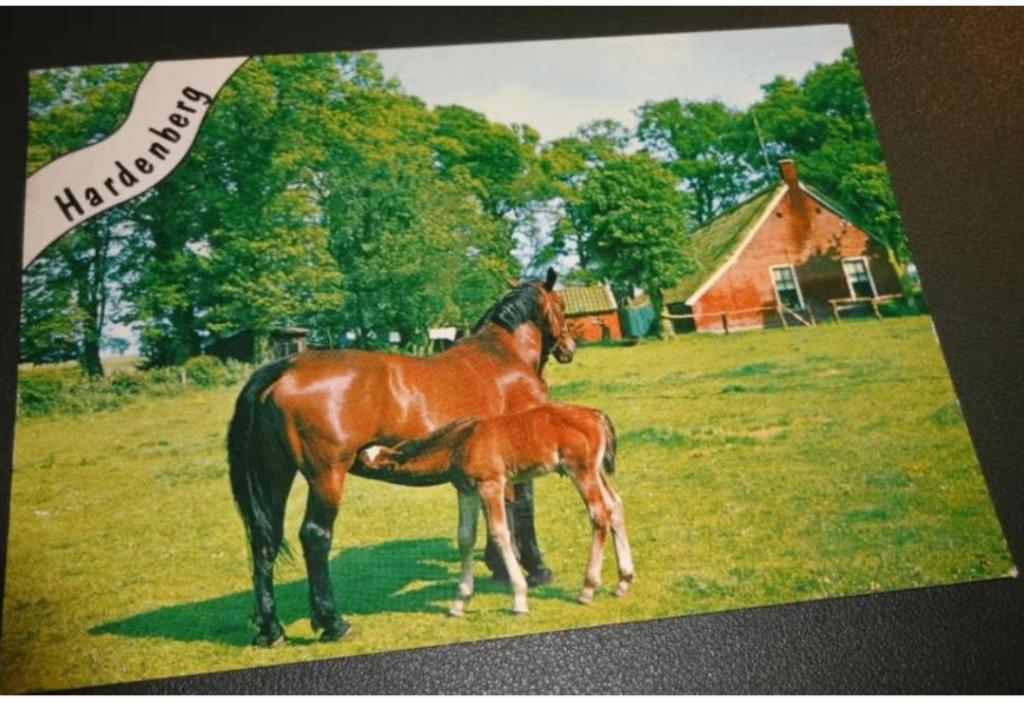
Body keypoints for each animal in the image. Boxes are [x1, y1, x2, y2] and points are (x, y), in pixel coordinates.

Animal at [228, 269, 576, 646]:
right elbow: (523, 510)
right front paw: (538, 568)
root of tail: (283, 369)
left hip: (276, 475)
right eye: (562, 304)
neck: (503, 356)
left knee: (264, 540)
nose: (569, 347)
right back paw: (333, 622)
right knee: (314, 537)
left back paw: (270, 629)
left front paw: (498, 564)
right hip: (326, 475)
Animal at [358, 403, 635, 616]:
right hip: (595, 472)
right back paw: (623, 581)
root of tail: (595, 414)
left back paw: (587, 589)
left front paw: (519, 600)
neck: (460, 442)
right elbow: (465, 538)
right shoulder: (466, 490)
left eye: (367, 462)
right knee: (615, 505)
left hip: (581, 471)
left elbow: (499, 533)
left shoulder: (491, 485)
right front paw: (459, 602)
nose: (352, 458)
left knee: (599, 515)